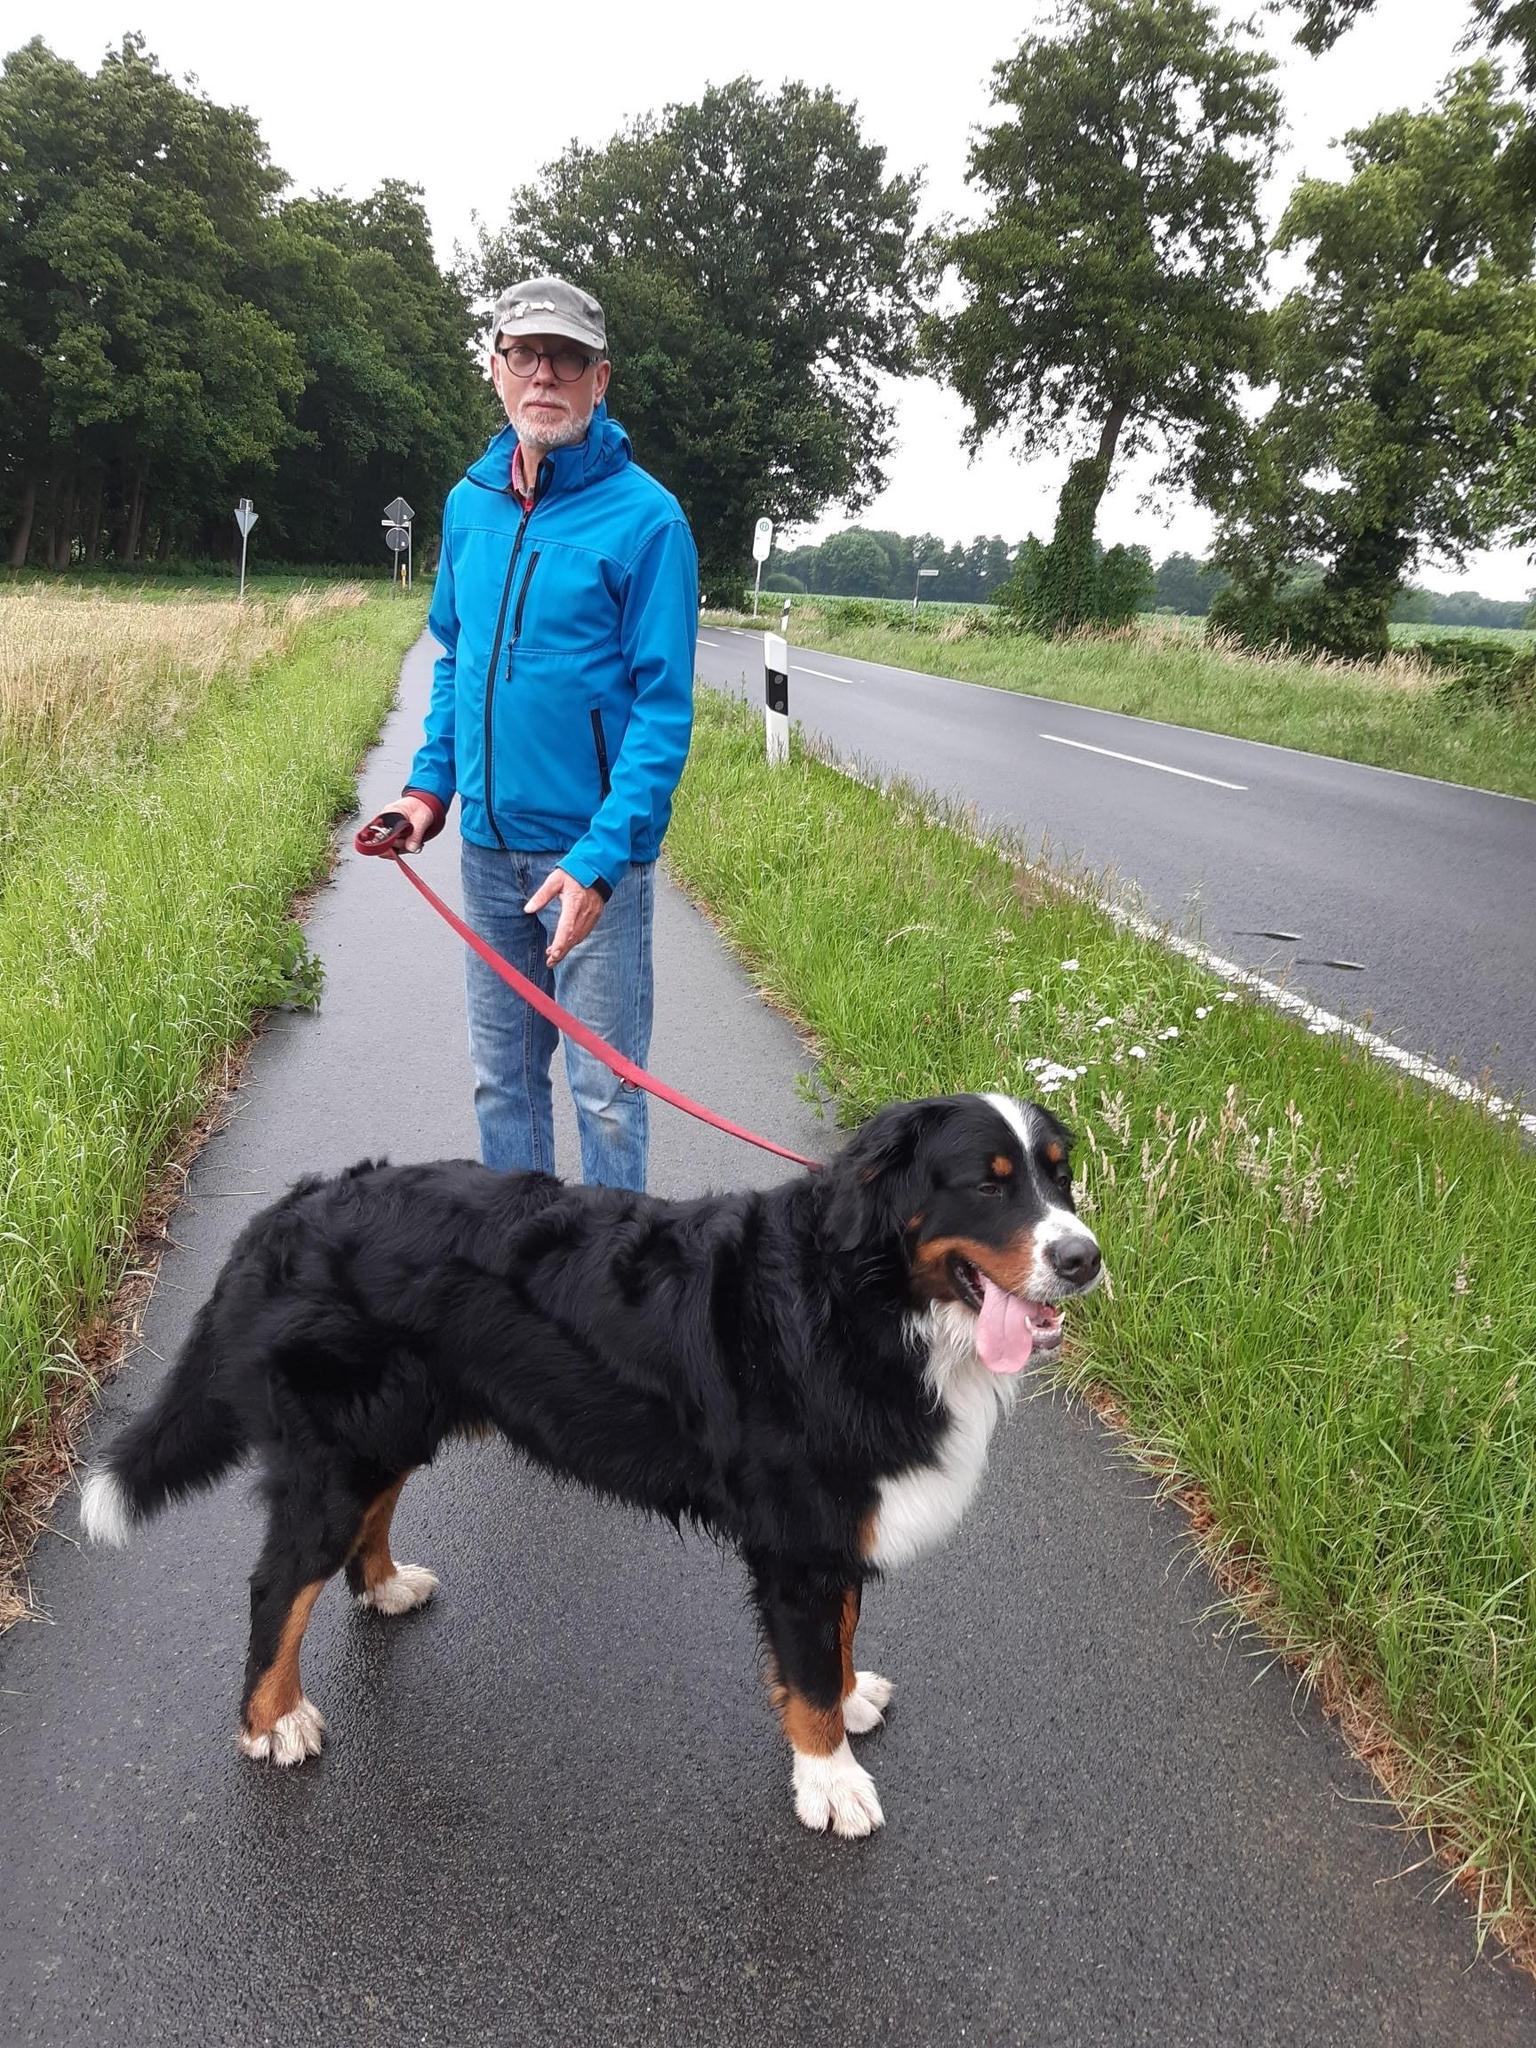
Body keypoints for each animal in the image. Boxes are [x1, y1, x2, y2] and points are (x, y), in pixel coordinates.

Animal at [80, 1092, 1102, 1837]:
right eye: (987, 1184)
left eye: (1061, 1180)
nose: (1085, 1258)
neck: (865, 1302)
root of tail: (293, 1207)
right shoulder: (799, 1535)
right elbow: (809, 1669)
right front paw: (831, 1780)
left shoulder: (837, 1522)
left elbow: (838, 1640)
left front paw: (850, 1704)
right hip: (337, 1455)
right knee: (277, 1586)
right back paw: (274, 1720)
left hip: (393, 1426)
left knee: (367, 1520)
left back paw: (384, 1586)